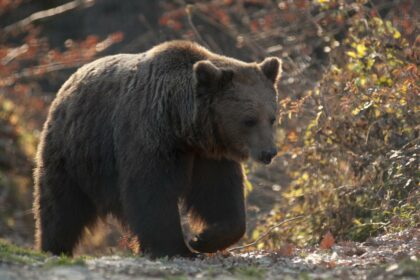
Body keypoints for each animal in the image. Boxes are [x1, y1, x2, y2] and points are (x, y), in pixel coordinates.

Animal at [33, 39, 282, 258]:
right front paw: (178, 248)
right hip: (74, 152)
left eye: (272, 118)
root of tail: (68, 84)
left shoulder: (208, 156)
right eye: (249, 120)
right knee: (61, 206)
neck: (182, 126)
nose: (269, 152)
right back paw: (54, 247)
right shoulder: (150, 138)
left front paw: (203, 239)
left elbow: (220, 195)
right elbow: (152, 193)